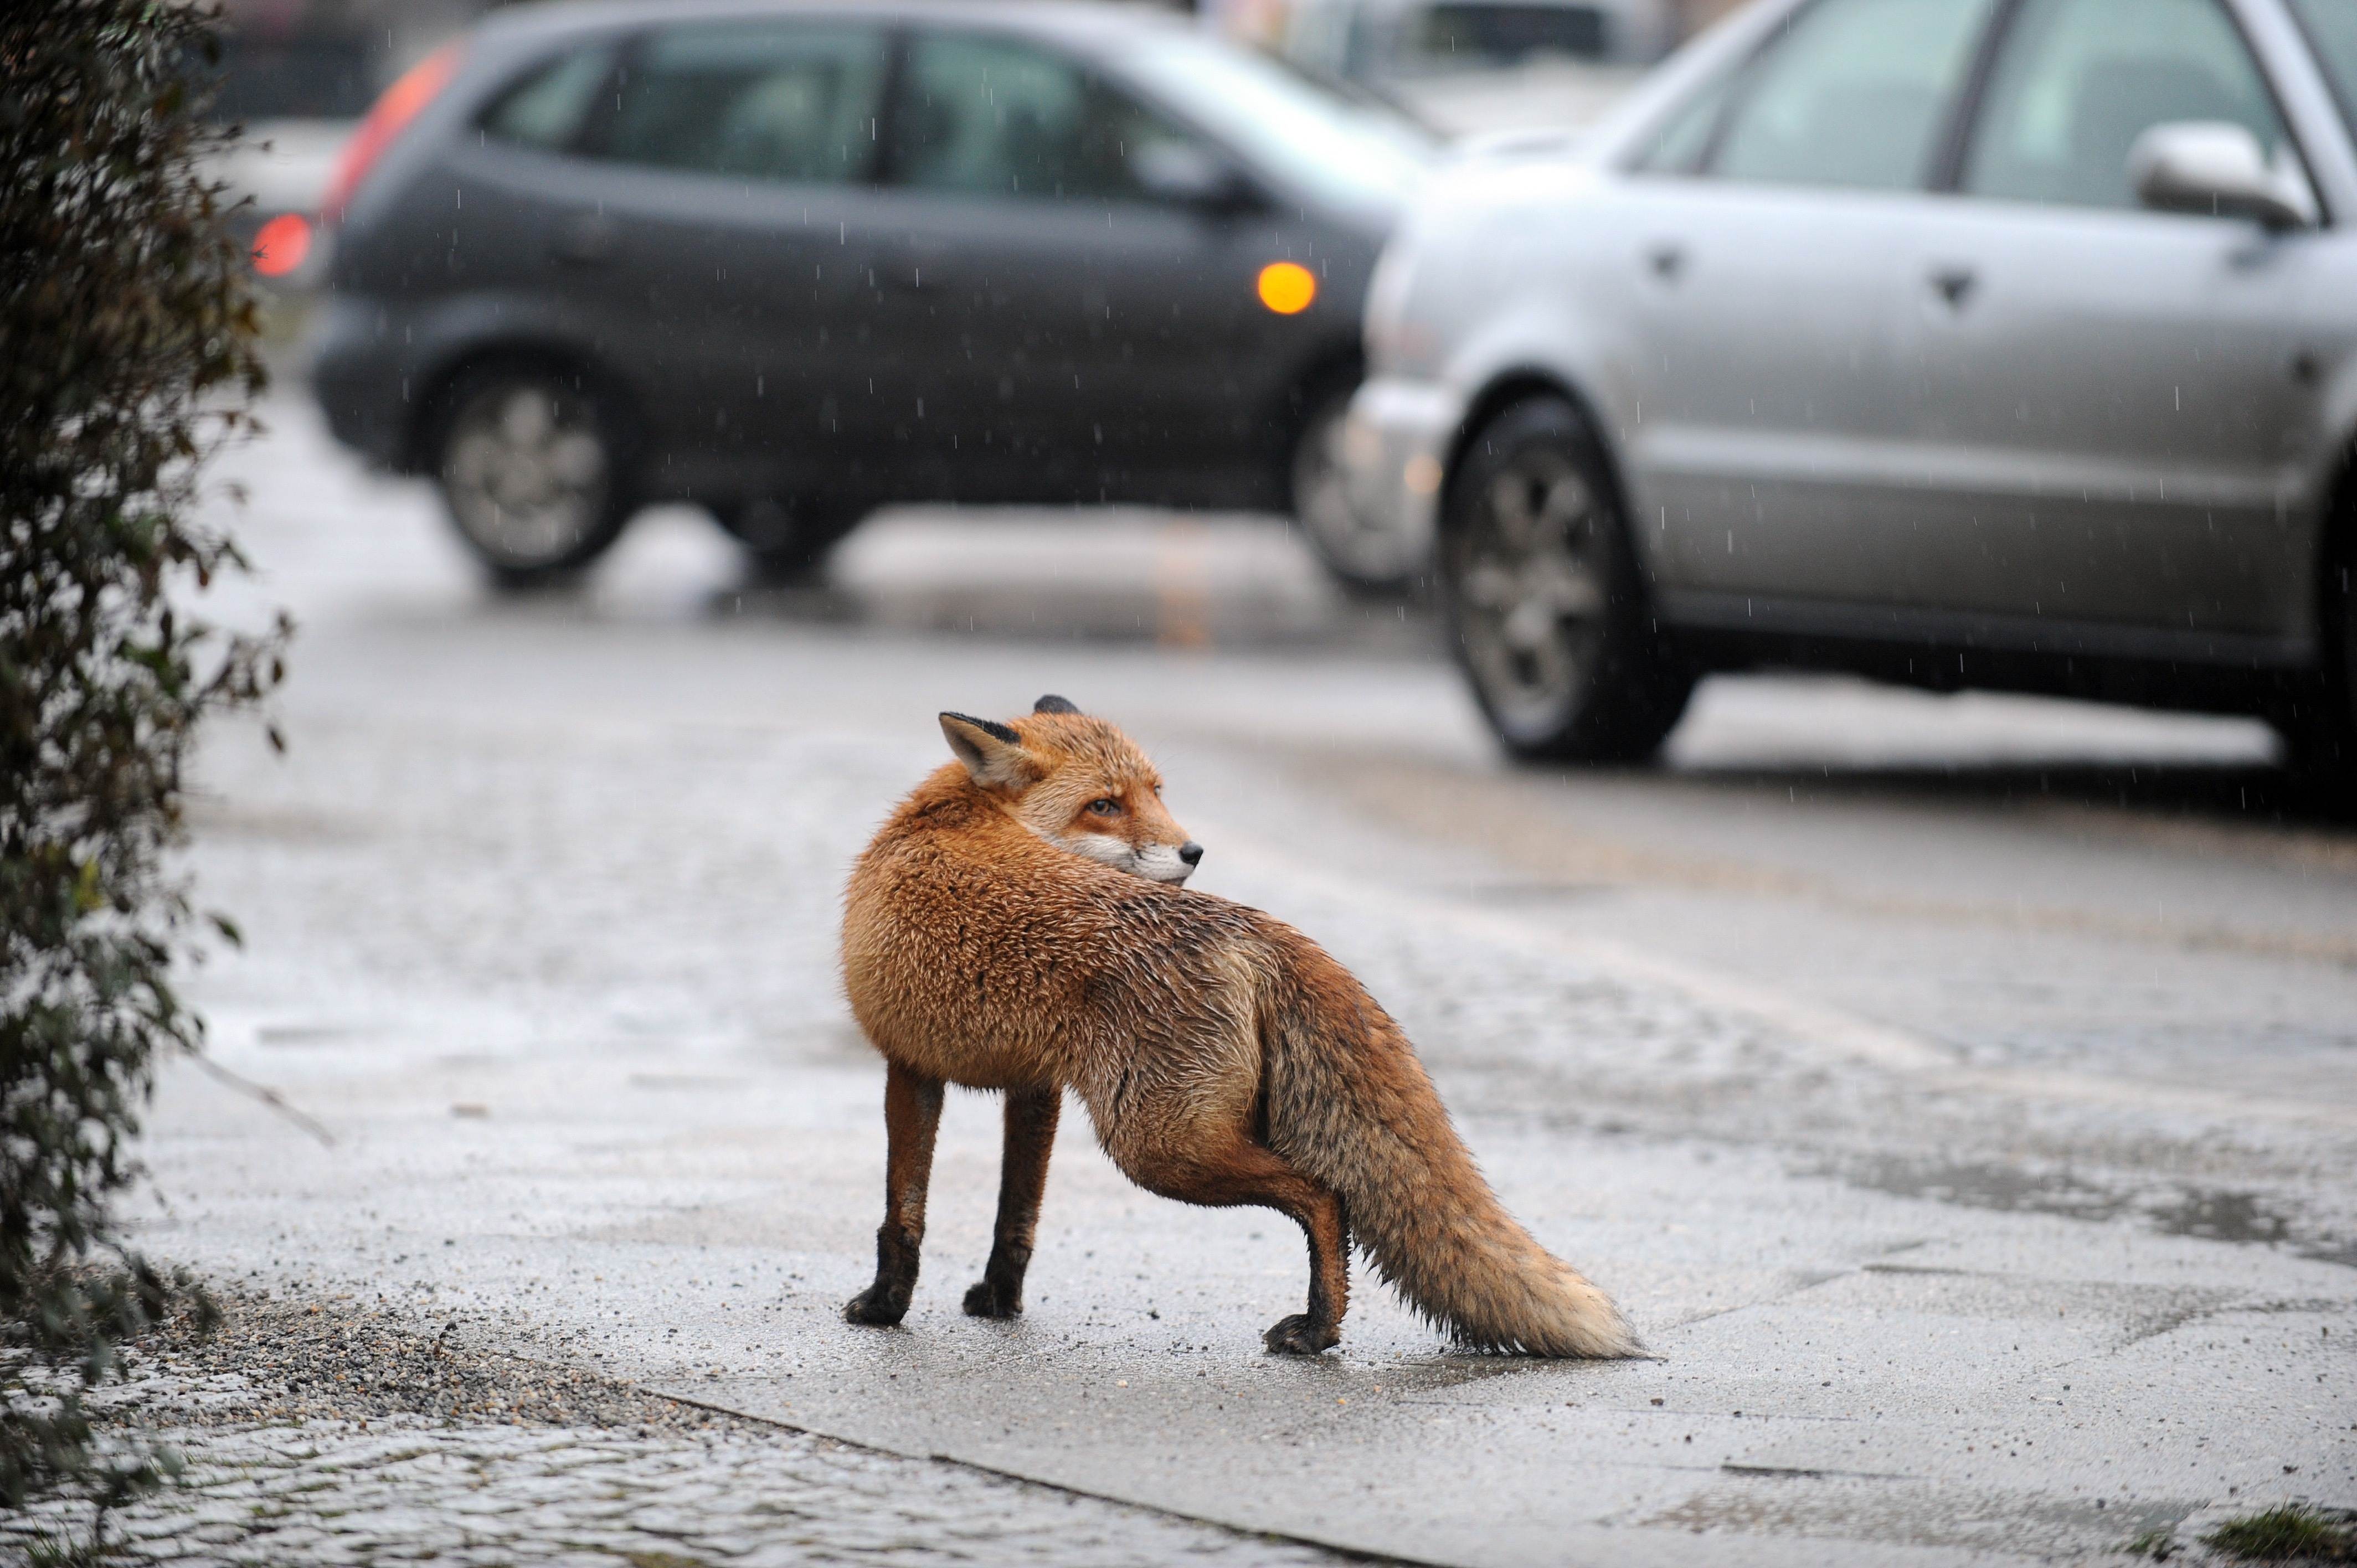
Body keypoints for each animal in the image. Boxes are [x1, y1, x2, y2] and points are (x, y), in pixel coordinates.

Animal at [843, 693, 1640, 1348]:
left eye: (1153, 793)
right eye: (1105, 804)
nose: (1194, 850)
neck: (957, 815)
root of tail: (1252, 926)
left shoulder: (905, 1064)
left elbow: (901, 1213)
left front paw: (884, 1308)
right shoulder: (1034, 1088)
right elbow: (1017, 1212)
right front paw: (999, 1300)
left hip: (1157, 1145)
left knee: (1325, 1195)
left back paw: (1317, 1329)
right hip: (1173, 1135)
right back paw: (1323, 1325)